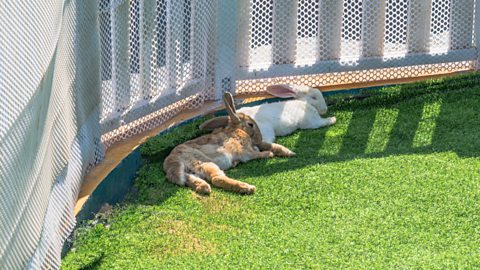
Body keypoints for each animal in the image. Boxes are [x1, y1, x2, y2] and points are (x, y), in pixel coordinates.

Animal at [163, 92, 294, 194]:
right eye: (250, 124)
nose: (259, 138)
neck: (236, 131)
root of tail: (172, 162)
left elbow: (267, 146)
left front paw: (289, 152)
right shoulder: (244, 152)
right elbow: (256, 154)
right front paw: (270, 154)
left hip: (190, 173)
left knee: (191, 180)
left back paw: (204, 187)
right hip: (204, 163)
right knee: (216, 178)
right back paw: (247, 188)